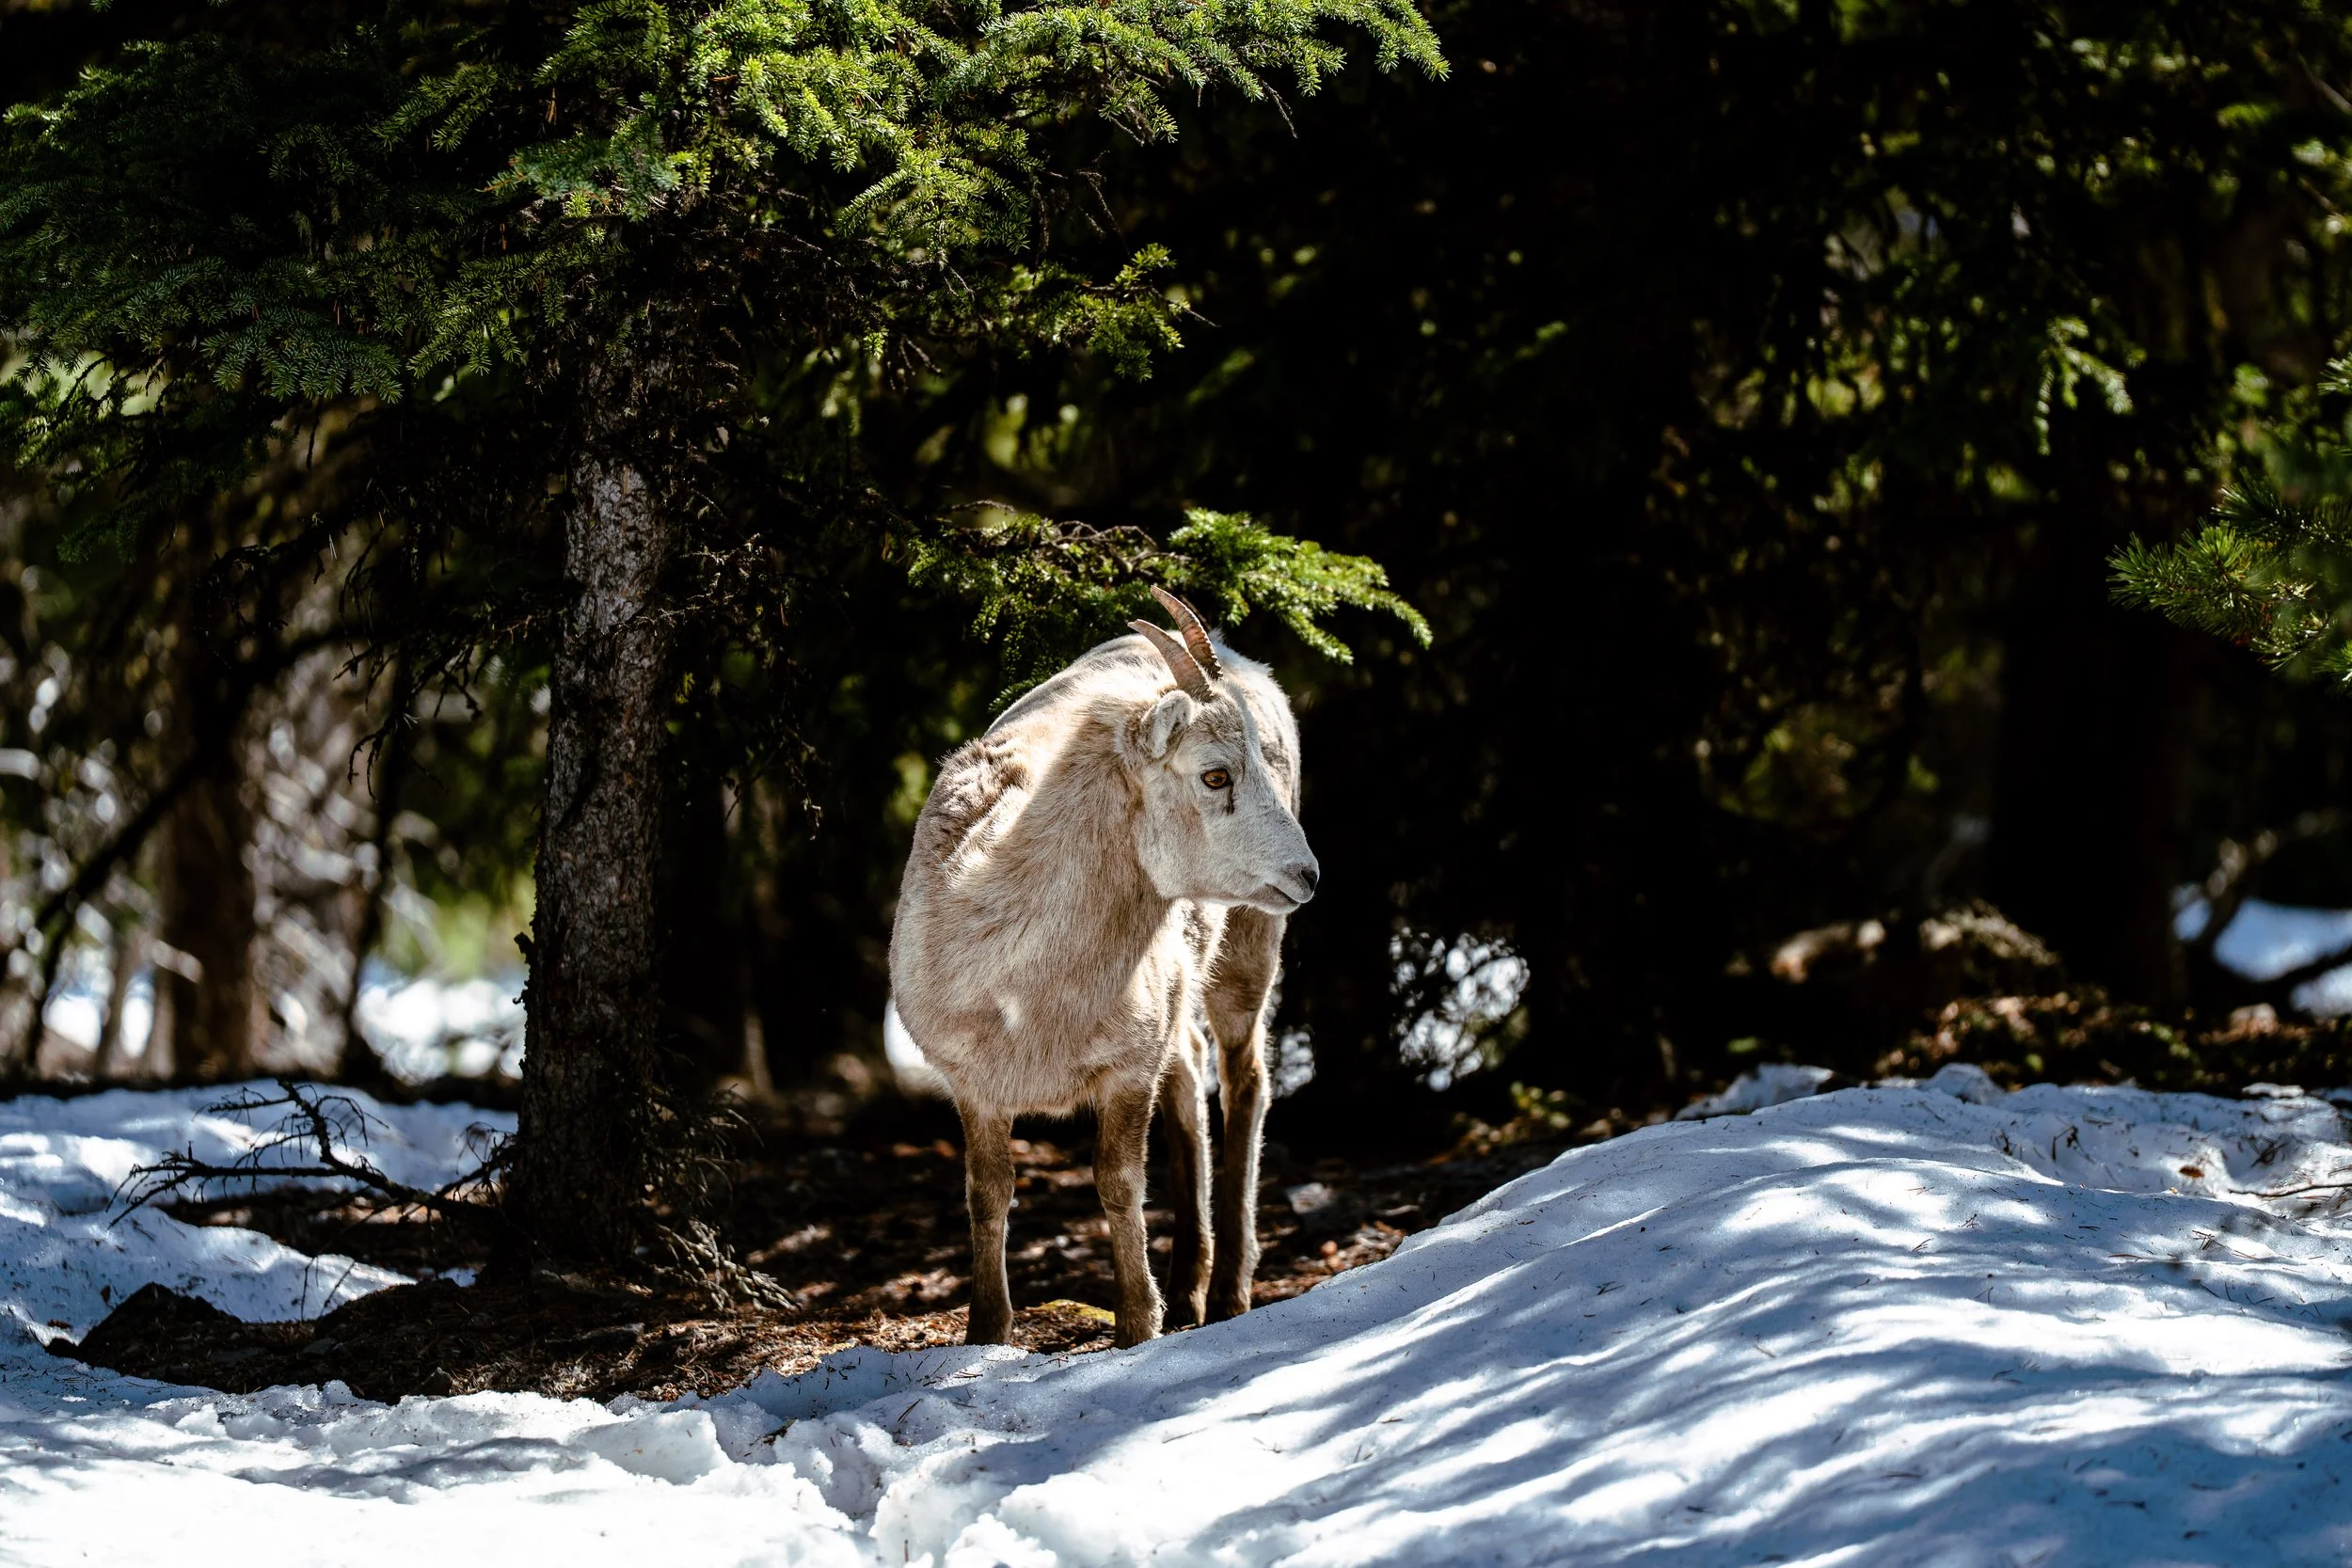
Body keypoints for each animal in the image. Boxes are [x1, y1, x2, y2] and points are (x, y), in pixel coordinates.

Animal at [888, 588, 1318, 1346]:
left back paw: (1227, 1293)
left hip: (1250, 946)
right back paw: (1189, 1291)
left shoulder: (1126, 1072)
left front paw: (1137, 1326)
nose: (1308, 874)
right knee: (1192, 1074)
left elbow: (1119, 1182)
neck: (1025, 991)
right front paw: (987, 1333)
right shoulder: (975, 1088)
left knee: (1244, 1081)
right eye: (1215, 774)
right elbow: (988, 1194)